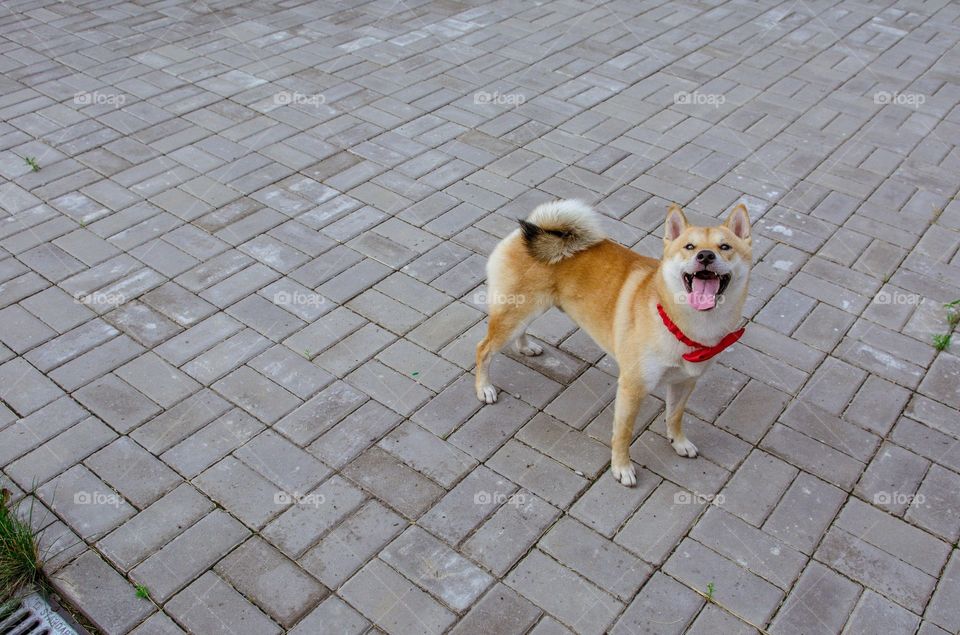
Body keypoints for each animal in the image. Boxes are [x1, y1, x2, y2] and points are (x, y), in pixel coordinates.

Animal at [472, 200, 752, 486]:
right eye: (689, 247)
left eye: (725, 247)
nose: (705, 256)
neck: (687, 324)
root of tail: (533, 229)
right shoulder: (632, 387)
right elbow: (624, 434)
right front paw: (622, 467)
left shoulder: (685, 382)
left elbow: (675, 416)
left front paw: (679, 442)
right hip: (514, 315)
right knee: (483, 349)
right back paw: (485, 388)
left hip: (526, 312)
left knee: (518, 332)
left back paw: (525, 346)